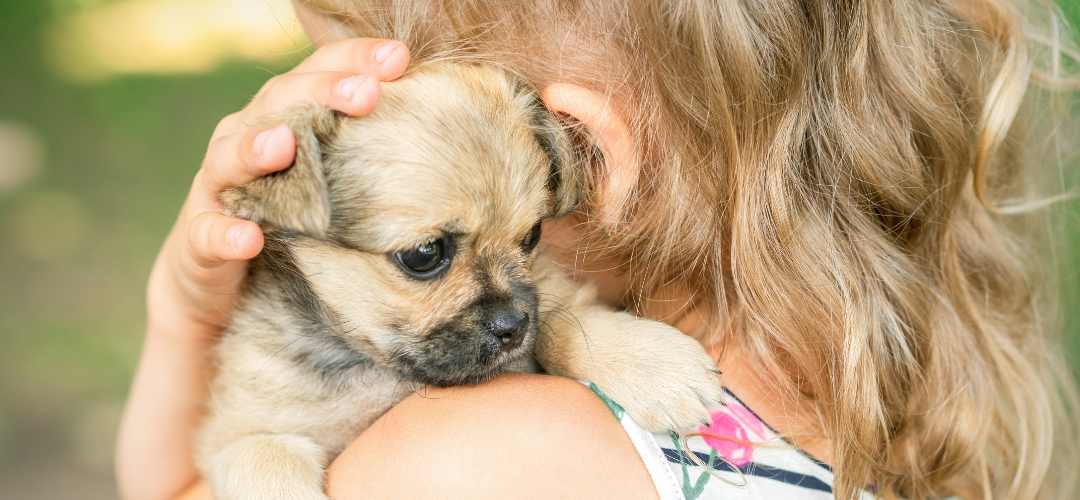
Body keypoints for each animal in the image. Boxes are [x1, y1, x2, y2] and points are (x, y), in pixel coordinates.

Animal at [200, 63, 725, 500]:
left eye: (532, 236)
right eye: (424, 255)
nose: (513, 326)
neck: (380, 368)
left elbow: (564, 319)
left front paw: (651, 365)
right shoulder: (237, 434)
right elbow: (265, 457)